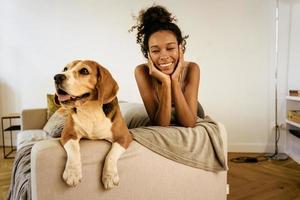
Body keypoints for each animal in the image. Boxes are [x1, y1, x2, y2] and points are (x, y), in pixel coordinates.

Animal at [53, 59, 132, 189]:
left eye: (84, 71)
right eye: (65, 69)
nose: (57, 77)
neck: (90, 110)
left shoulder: (125, 136)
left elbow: (111, 155)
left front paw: (109, 176)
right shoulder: (68, 134)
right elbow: (74, 149)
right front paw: (73, 173)